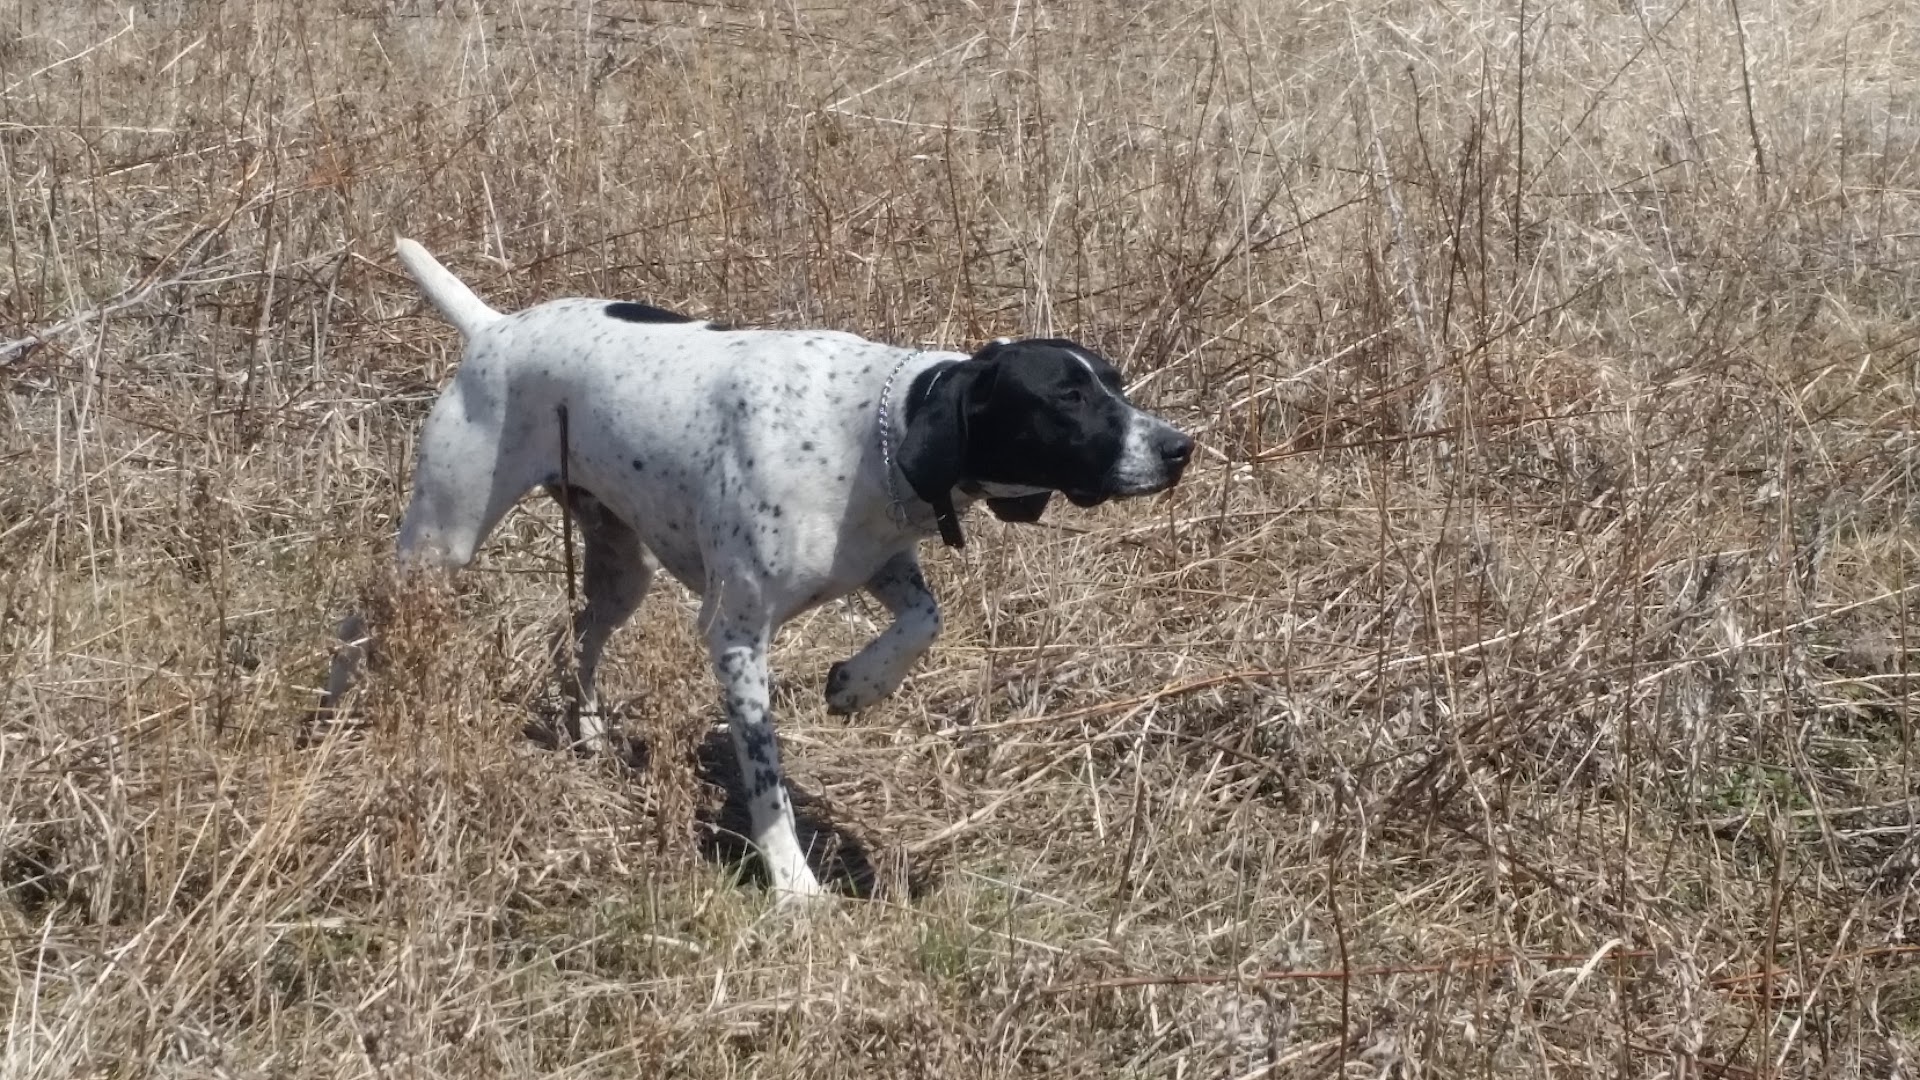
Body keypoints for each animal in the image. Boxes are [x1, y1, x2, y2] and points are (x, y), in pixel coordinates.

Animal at [332, 239, 1198, 895]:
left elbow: (926, 619)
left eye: (1116, 384)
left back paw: (590, 735)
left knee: (573, 638)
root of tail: (495, 328)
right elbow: (766, 779)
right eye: (1066, 399)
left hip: (619, 570)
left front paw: (859, 684)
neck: (876, 431)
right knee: (359, 609)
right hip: (441, 541)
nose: (1179, 448)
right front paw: (793, 883)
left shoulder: (883, 561)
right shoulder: (737, 638)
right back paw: (336, 712)